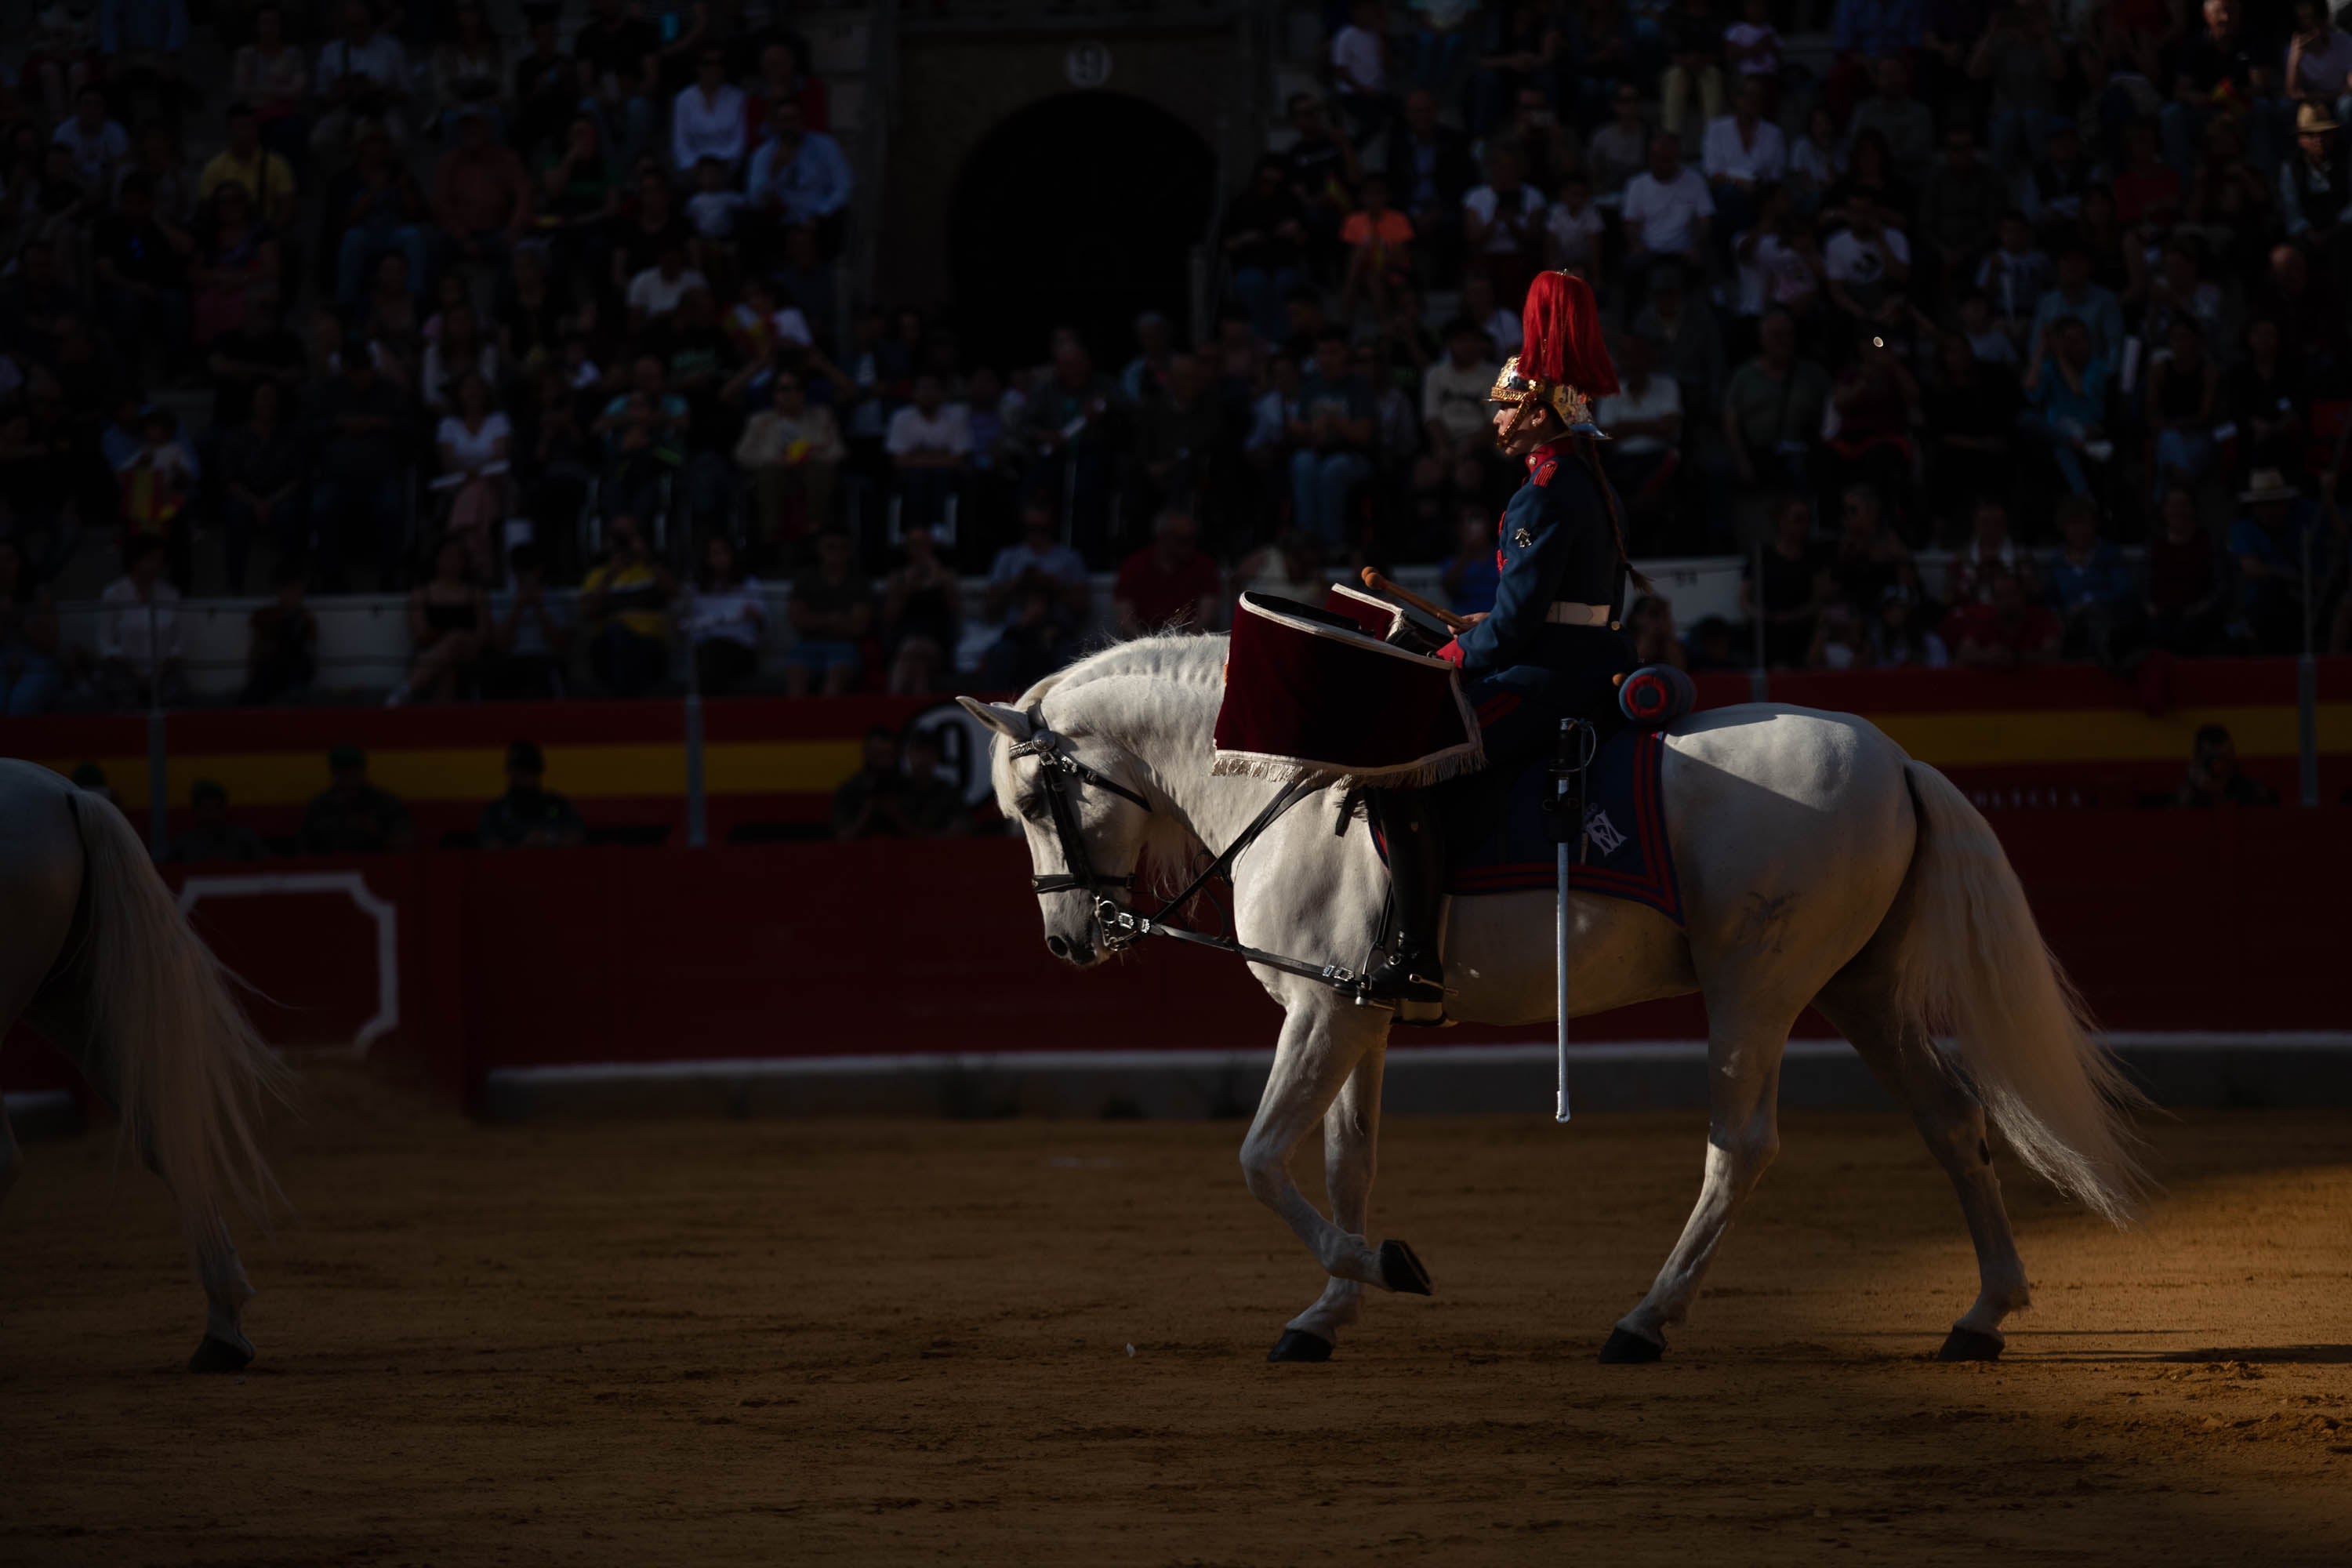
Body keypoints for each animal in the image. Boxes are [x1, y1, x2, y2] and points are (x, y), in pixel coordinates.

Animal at [960, 634, 2154, 1363]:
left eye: (1034, 799)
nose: (1069, 941)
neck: (1288, 791)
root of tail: (1897, 757)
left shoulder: (1324, 1013)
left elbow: (1258, 1158)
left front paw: (1384, 1266)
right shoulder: (1360, 1014)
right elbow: (1347, 1163)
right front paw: (1325, 1313)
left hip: (1758, 988)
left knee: (1741, 1144)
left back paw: (1645, 1320)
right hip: (1861, 991)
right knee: (1952, 1119)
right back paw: (1983, 1313)